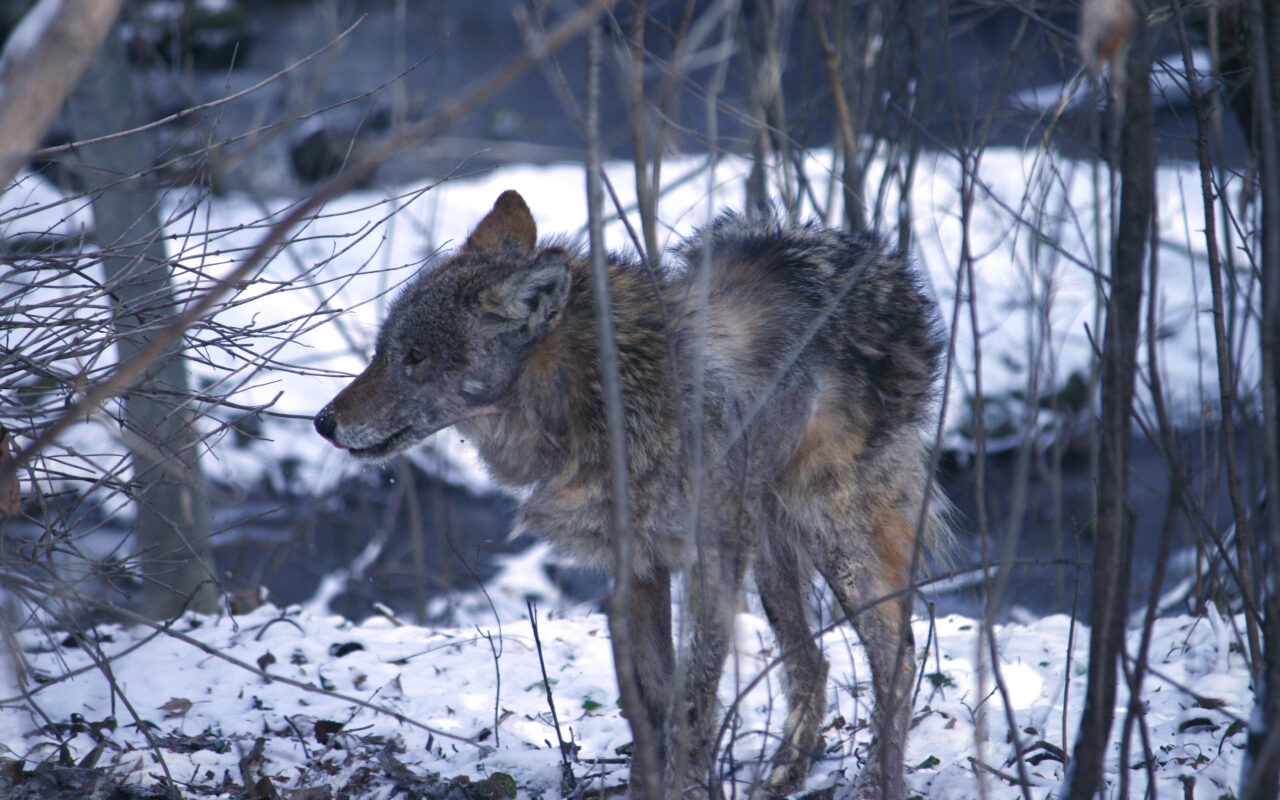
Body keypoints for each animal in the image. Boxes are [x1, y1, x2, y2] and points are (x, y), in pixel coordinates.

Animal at [314, 190, 949, 800]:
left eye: (415, 357)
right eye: (383, 352)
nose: (323, 422)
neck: (601, 400)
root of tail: (884, 266)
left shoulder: (712, 559)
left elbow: (693, 701)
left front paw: (686, 785)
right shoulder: (640, 567)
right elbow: (653, 700)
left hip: (832, 538)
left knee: (896, 659)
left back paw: (876, 786)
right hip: (772, 555)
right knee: (813, 662)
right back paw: (783, 777)